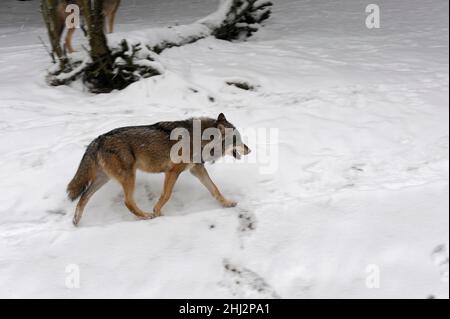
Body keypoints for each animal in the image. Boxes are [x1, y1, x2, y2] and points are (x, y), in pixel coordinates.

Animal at [67, 114, 251, 226]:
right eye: (238, 140)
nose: (250, 149)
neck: (200, 139)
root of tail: (98, 139)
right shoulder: (173, 171)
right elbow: (166, 195)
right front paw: (157, 212)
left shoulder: (196, 170)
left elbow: (215, 189)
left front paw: (227, 203)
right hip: (129, 176)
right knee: (127, 201)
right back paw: (147, 216)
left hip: (103, 179)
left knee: (83, 198)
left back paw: (76, 222)